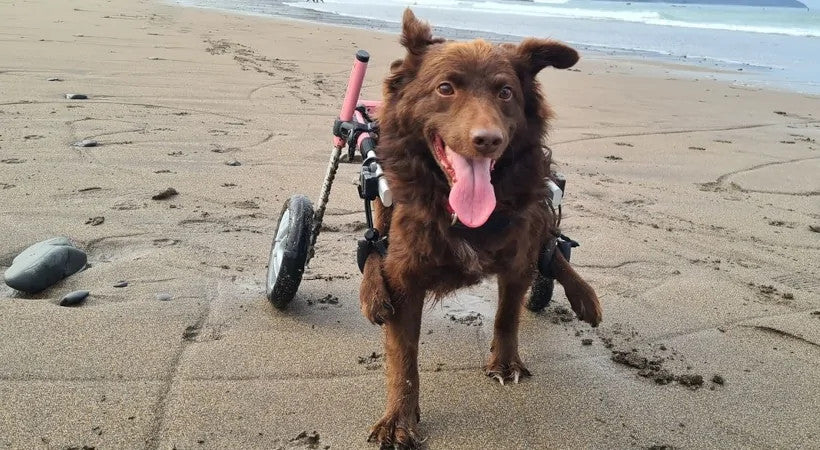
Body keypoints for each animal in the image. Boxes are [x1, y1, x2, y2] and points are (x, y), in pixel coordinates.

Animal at [358, 9, 604, 446]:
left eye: (505, 92)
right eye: (445, 88)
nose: (488, 139)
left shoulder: (518, 257)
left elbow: (507, 314)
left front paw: (505, 363)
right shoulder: (406, 276)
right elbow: (404, 358)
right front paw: (399, 419)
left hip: (540, 202)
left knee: (552, 246)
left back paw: (583, 296)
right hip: (381, 202)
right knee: (371, 244)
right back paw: (372, 293)